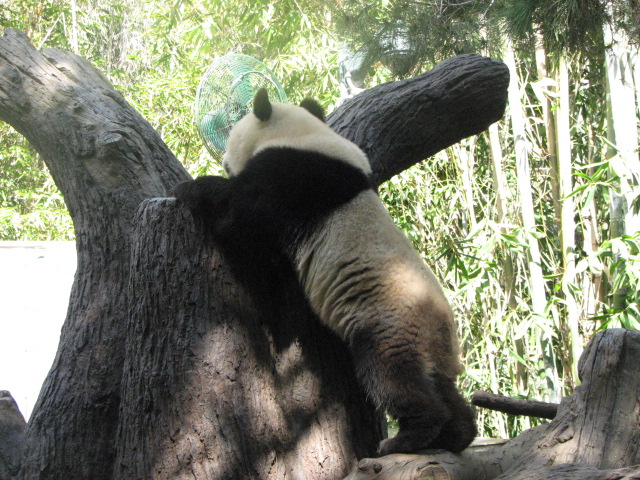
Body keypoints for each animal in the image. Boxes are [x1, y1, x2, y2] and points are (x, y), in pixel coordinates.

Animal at [173, 88, 476, 456]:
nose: (226, 163)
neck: (301, 135)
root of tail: (442, 328)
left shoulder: (289, 179)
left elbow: (239, 220)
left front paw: (192, 189)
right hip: (433, 343)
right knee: (443, 386)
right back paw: (456, 436)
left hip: (391, 321)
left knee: (392, 375)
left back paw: (407, 437)